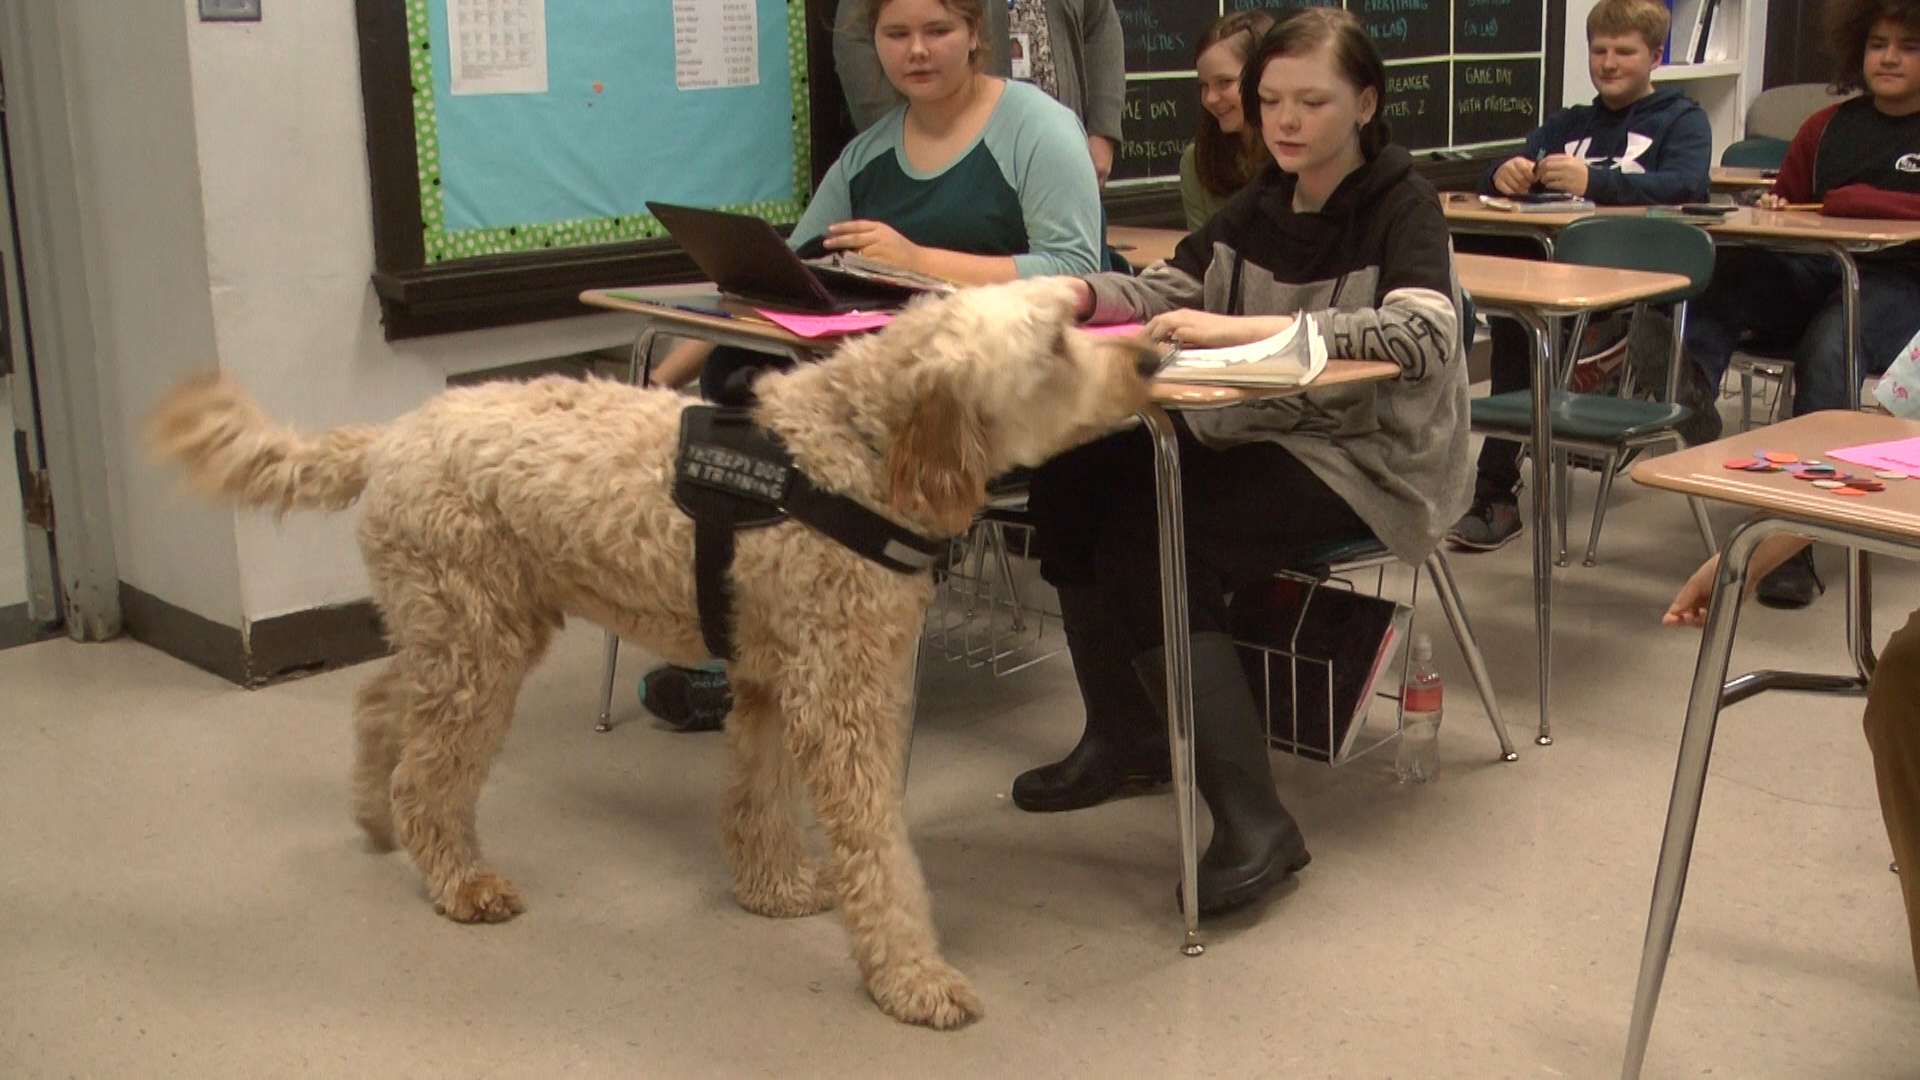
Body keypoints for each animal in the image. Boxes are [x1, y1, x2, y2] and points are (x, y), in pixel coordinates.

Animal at [145, 276, 1152, 1022]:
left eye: (1080, 315)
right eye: (1055, 344)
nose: (1150, 356)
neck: (852, 447)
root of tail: (392, 436)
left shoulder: (771, 678)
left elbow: (757, 797)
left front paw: (774, 888)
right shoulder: (842, 696)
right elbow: (881, 851)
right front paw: (911, 978)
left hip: (464, 624)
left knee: (380, 703)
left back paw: (373, 815)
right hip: (478, 645)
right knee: (429, 774)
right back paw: (458, 877)